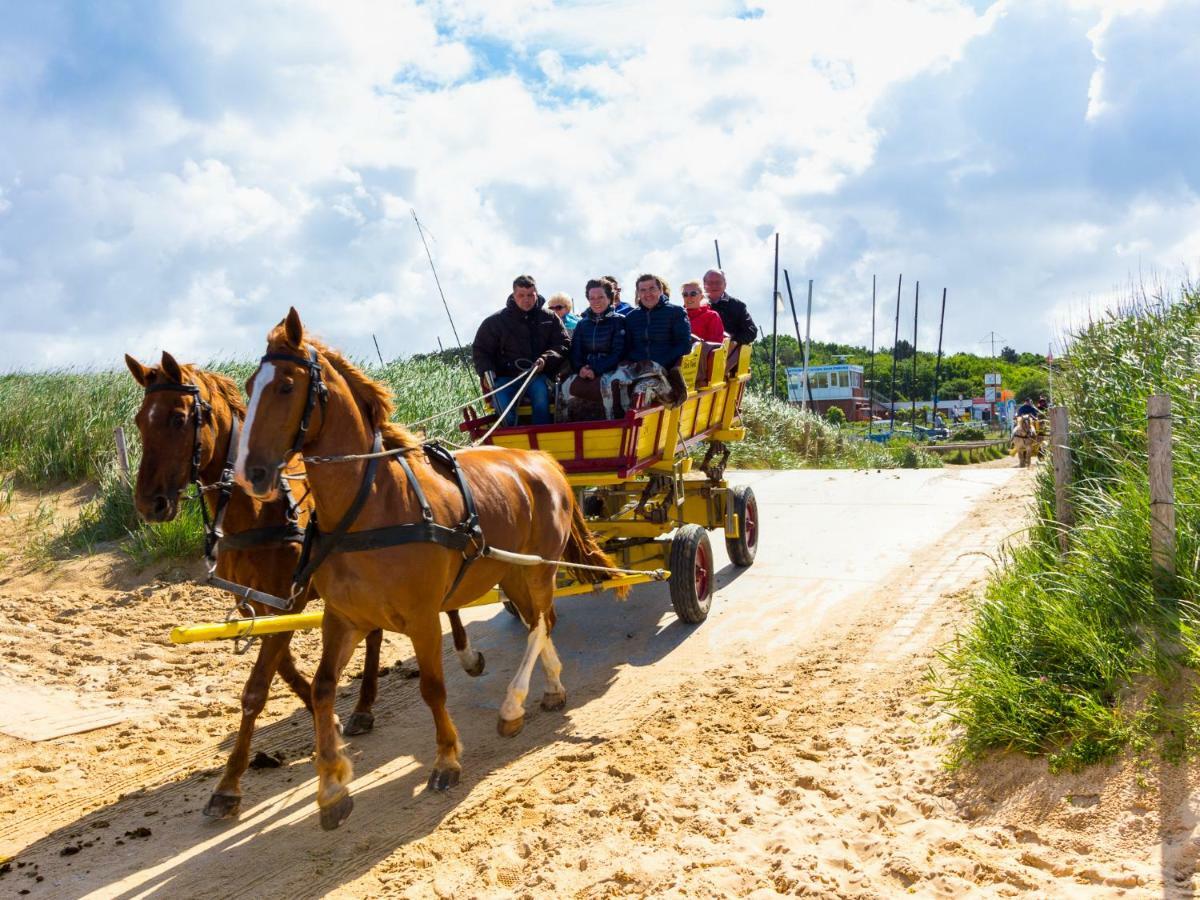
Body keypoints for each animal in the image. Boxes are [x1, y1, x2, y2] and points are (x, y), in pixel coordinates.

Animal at [234, 309, 619, 830]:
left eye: (286, 386)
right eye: (249, 385)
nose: (249, 473)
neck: (372, 507)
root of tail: (543, 459)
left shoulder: (421, 617)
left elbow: (433, 688)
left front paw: (446, 760)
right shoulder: (343, 618)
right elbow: (322, 688)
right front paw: (332, 786)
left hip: (540, 566)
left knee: (541, 621)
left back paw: (512, 704)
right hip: (511, 572)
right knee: (541, 621)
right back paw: (553, 687)